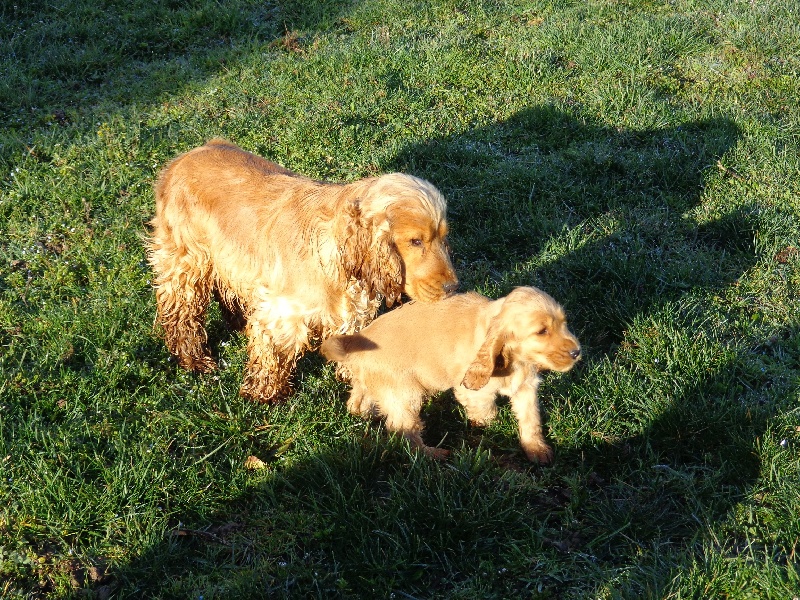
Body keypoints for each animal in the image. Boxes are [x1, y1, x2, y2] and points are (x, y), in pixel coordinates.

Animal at [145, 139, 456, 404]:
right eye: (415, 241)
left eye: (443, 238)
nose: (452, 288)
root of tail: (182, 158)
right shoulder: (282, 313)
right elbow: (273, 354)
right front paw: (264, 394)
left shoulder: (353, 311)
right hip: (186, 261)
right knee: (180, 313)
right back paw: (194, 359)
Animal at [320, 286, 580, 464]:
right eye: (542, 331)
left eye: (564, 324)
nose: (577, 352)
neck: (514, 358)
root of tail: (355, 341)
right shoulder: (474, 390)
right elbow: (487, 412)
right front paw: (484, 426)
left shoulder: (526, 387)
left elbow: (530, 419)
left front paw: (537, 450)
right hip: (405, 392)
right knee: (403, 429)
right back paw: (433, 454)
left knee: (357, 401)